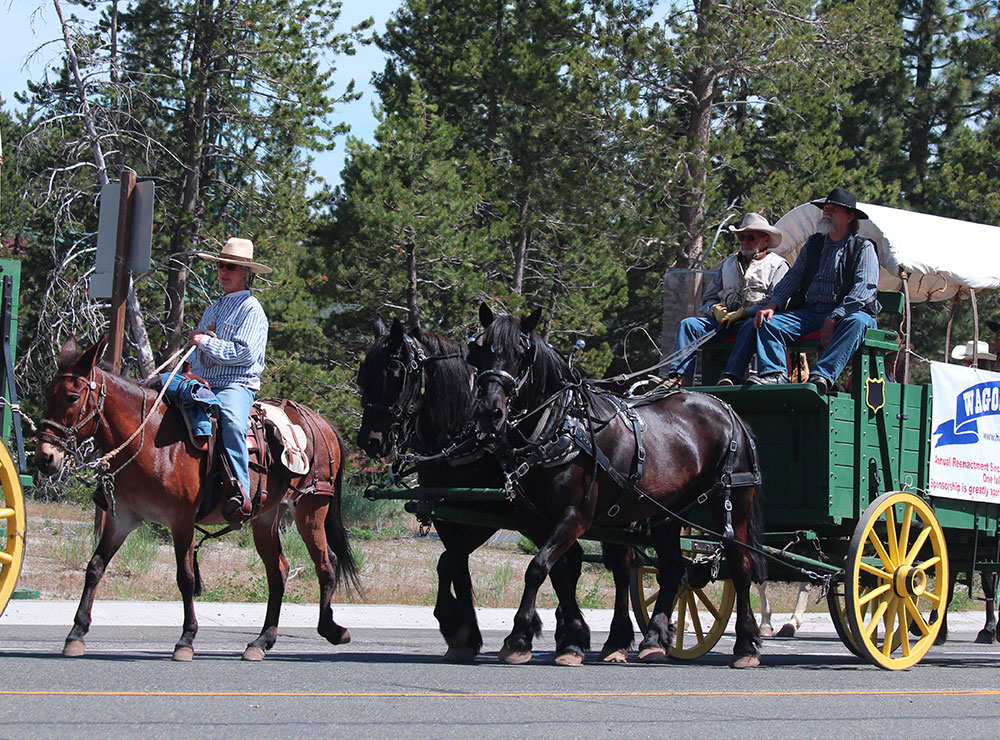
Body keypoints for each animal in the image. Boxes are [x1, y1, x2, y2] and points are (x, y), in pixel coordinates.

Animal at [356, 318, 632, 664]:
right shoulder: (450, 514)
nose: (371, 440)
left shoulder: (488, 516)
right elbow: (455, 565)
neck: (467, 438)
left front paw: (456, 625)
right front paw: (464, 635)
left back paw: (616, 640)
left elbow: (449, 561)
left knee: (621, 568)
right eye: (363, 375)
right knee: (575, 561)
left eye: (395, 372)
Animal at [468, 304, 764, 668]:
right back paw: (653, 640)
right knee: (672, 570)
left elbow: (537, 568)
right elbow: (557, 573)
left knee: (740, 566)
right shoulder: (536, 520)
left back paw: (746, 645)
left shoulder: (576, 516)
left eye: (521, 354)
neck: (561, 426)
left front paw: (519, 638)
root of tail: (728, 410)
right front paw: (568, 639)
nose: (488, 412)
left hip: (732, 502)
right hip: (669, 514)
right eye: (481, 351)